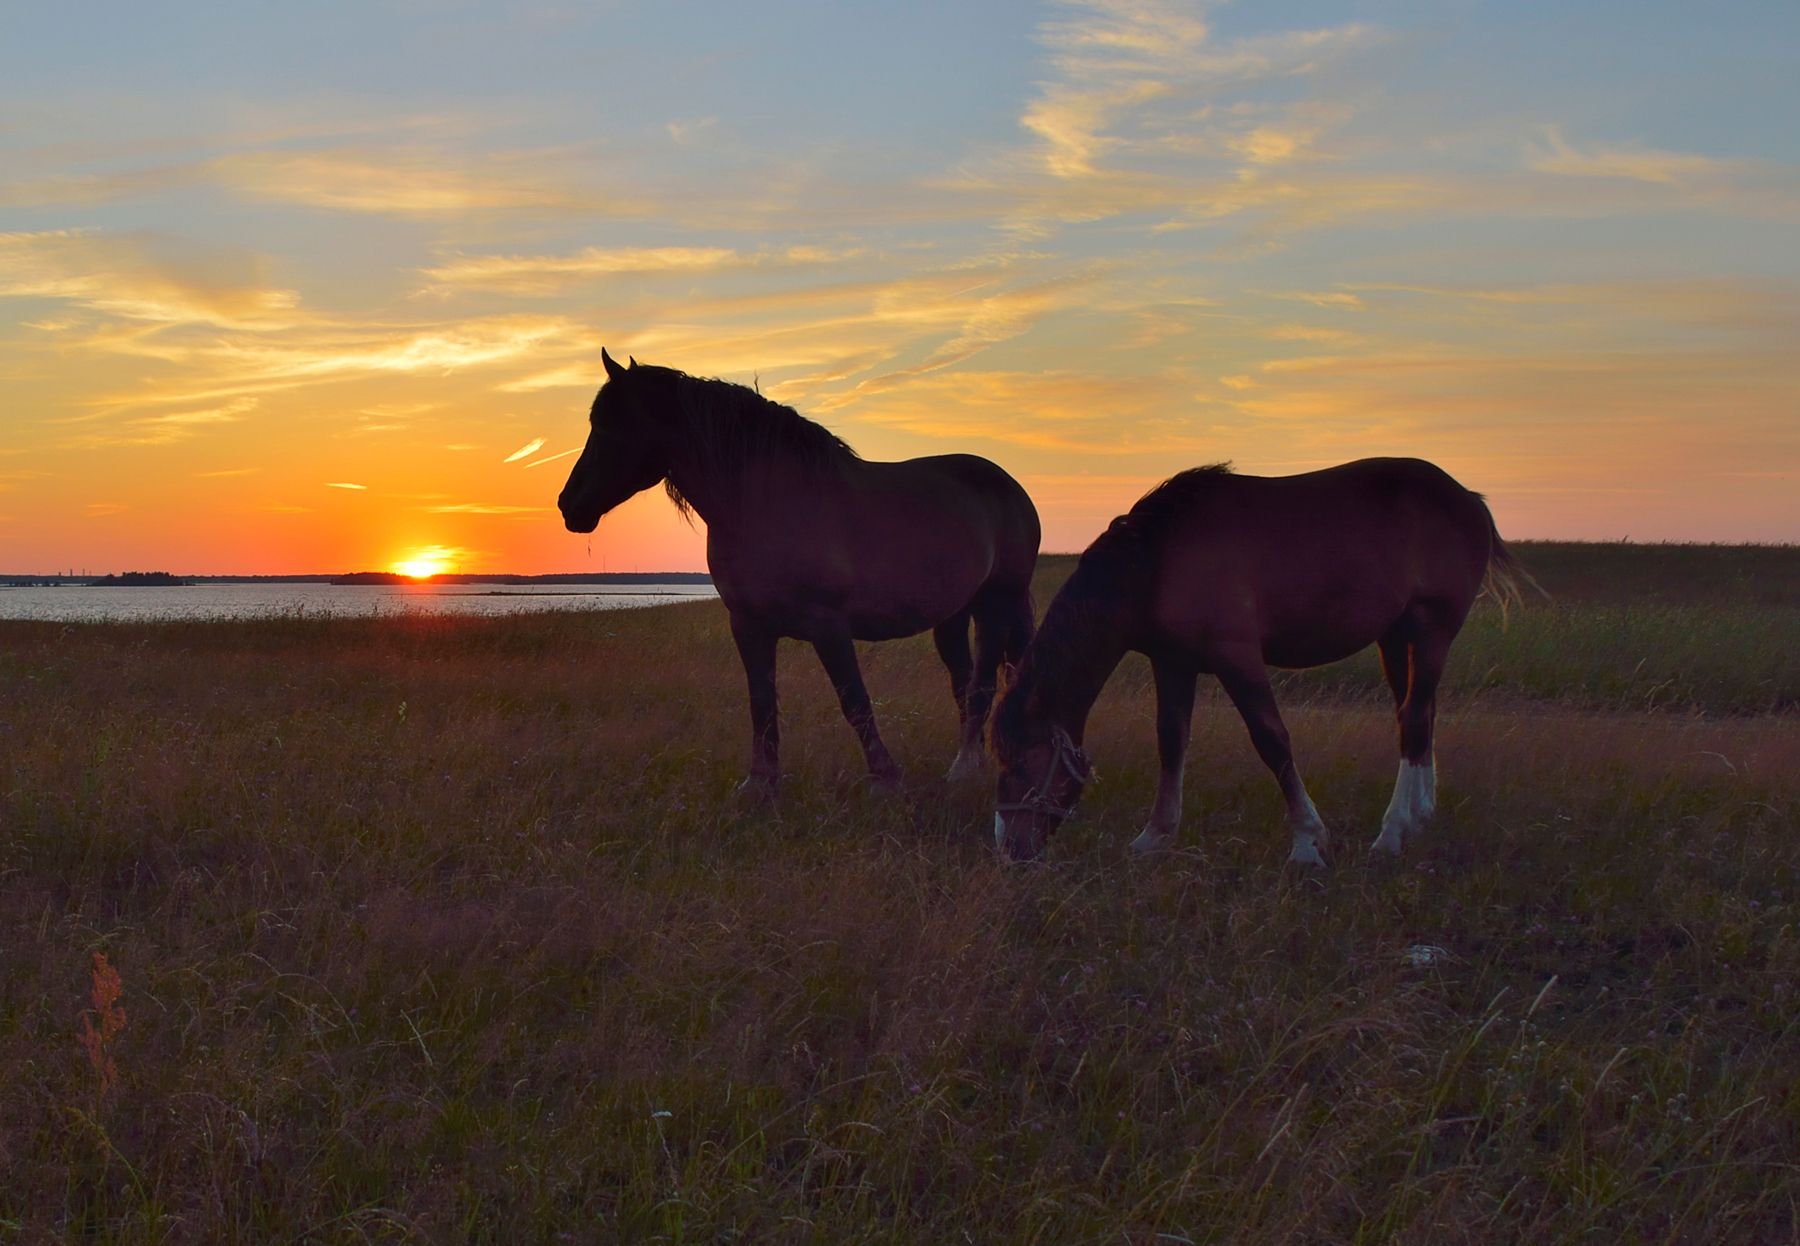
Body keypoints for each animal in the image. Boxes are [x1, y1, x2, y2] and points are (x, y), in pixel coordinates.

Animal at [561, 347, 1044, 799]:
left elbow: (854, 700)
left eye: (607, 426)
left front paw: (886, 779)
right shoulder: (748, 626)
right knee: (964, 684)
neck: (766, 504)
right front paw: (760, 784)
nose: (569, 505)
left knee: (982, 686)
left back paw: (964, 769)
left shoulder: (828, 626)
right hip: (952, 616)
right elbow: (761, 704)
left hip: (996, 604)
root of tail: (1009, 486)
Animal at [993, 457, 1526, 867]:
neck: (1159, 559)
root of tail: (1466, 498)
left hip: (1431, 630)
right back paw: (1418, 817)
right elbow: (1171, 742)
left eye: (1021, 764)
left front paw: (1308, 843)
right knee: (1416, 716)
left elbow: (1271, 740)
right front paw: (1154, 838)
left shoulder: (1238, 658)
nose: (1010, 852)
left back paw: (1391, 834)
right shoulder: (1173, 663)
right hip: (1394, 638)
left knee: (1415, 718)